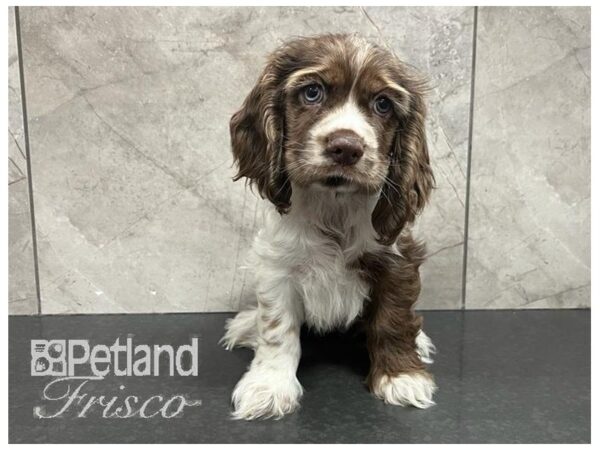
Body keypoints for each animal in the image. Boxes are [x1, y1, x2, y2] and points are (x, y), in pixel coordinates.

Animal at [220, 33, 436, 420]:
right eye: (312, 92)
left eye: (383, 104)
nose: (346, 147)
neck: (334, 205)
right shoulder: (276, 267)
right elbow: (276, 330)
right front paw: (269, 386)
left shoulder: (397, 260)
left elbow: (393, 320)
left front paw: (402, 377)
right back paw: (246, 326)